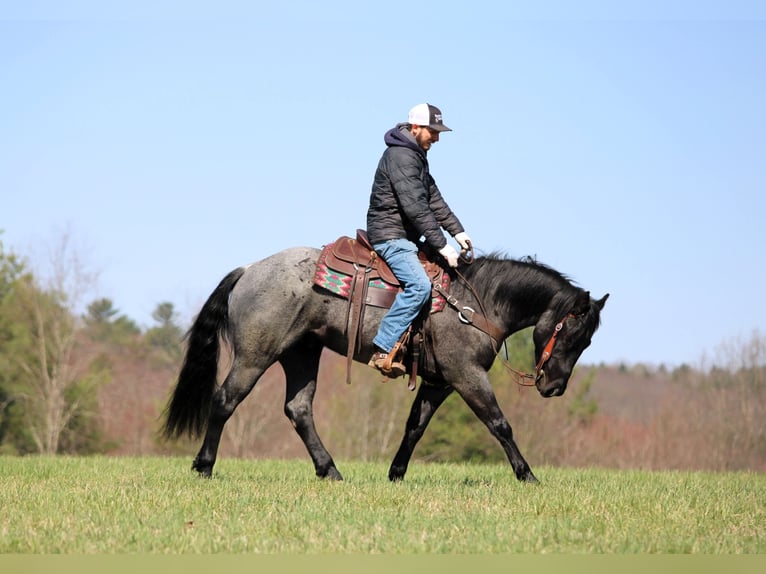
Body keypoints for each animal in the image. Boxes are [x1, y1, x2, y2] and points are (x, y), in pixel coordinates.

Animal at [162, 244, 608, 483]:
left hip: (302, 355)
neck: (474, 301)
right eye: (574, 336)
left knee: (298, 410)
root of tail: (249, 270)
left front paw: (396, 473)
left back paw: (330, 471)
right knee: (225, 401)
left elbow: (415, 426)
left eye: (588, 341)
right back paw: (204, 466)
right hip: (256, 356)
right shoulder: (467, 376)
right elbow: (499, 424)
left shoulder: (439, 382)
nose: (553, 387)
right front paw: (527, 474)